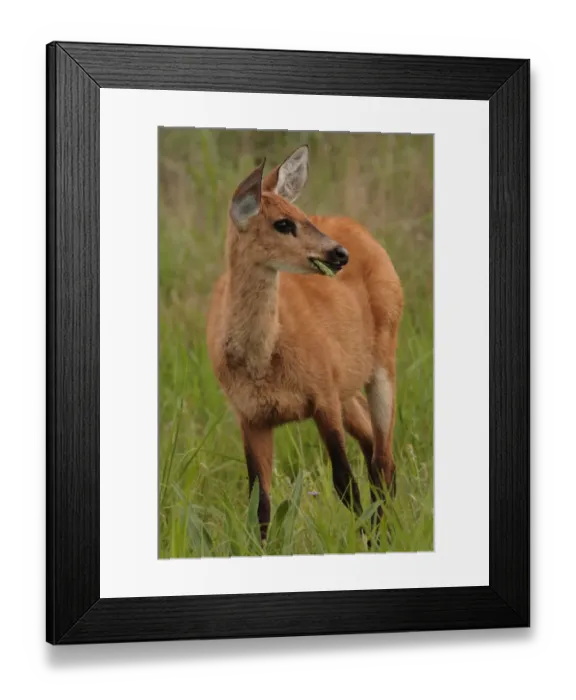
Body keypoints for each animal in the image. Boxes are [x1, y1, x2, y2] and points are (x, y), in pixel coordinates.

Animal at [206, 145, 404, 545]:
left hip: (382, 364)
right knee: (373, 447)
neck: (262, 361)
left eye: (301, 216)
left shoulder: (322, 398)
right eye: (283, 223)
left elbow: (344, 483)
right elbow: (260, 504)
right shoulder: (250, 417)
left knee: (383, 461)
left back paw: (385, 536)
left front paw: (363, 541)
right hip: (347, 389)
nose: (339, 254)